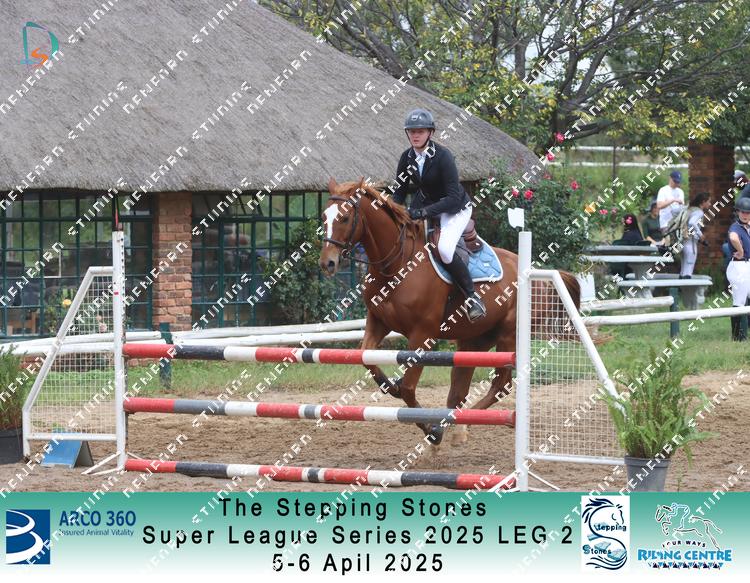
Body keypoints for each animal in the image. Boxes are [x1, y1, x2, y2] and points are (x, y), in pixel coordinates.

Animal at [319, 177, 580, 447]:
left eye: (345, 218)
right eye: (324, 217)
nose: (327, 263)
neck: (397, 265)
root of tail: (535, 274)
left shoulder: (422, 335)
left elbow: (409, 389)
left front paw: (430, 429)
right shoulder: (378, 321)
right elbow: (367, 357)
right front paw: (389, 385)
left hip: (509, 336)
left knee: (500, 385)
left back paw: (454, 426)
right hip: (474, 340)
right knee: (460, 387)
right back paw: (454, 424)